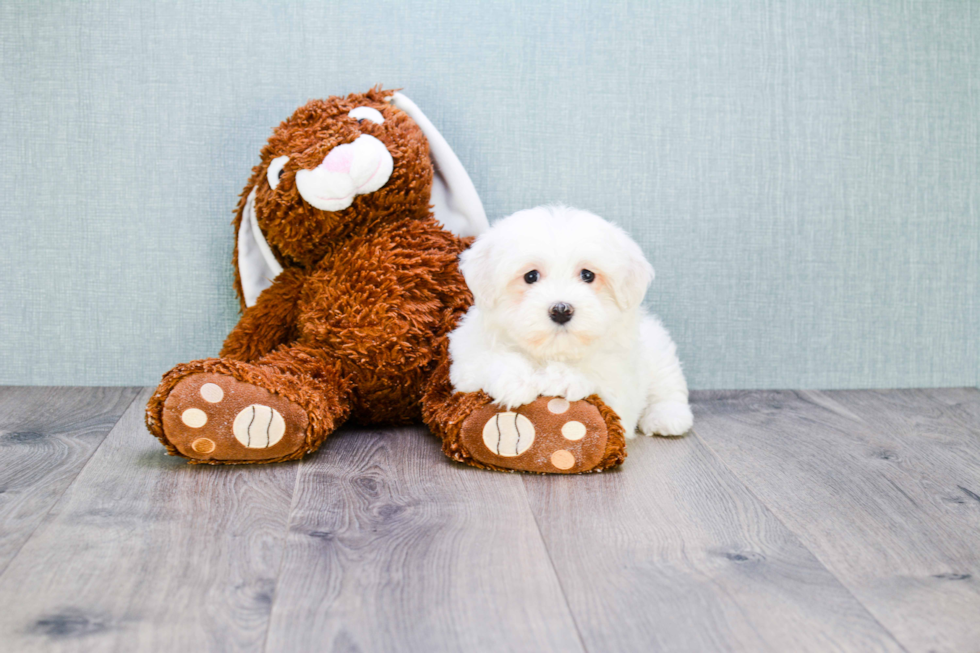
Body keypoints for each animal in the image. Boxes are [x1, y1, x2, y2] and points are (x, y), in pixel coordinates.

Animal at [448, 204, 692, 438]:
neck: (553, 353)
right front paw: (515, 380)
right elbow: (489, 360)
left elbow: (599, 379)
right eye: (530, 276)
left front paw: (562, 378)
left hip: (659, 353)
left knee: (668, 387)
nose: (561, 310)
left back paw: (666, 417)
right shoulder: (467, 362)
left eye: (587, 275)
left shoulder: (621, 387)